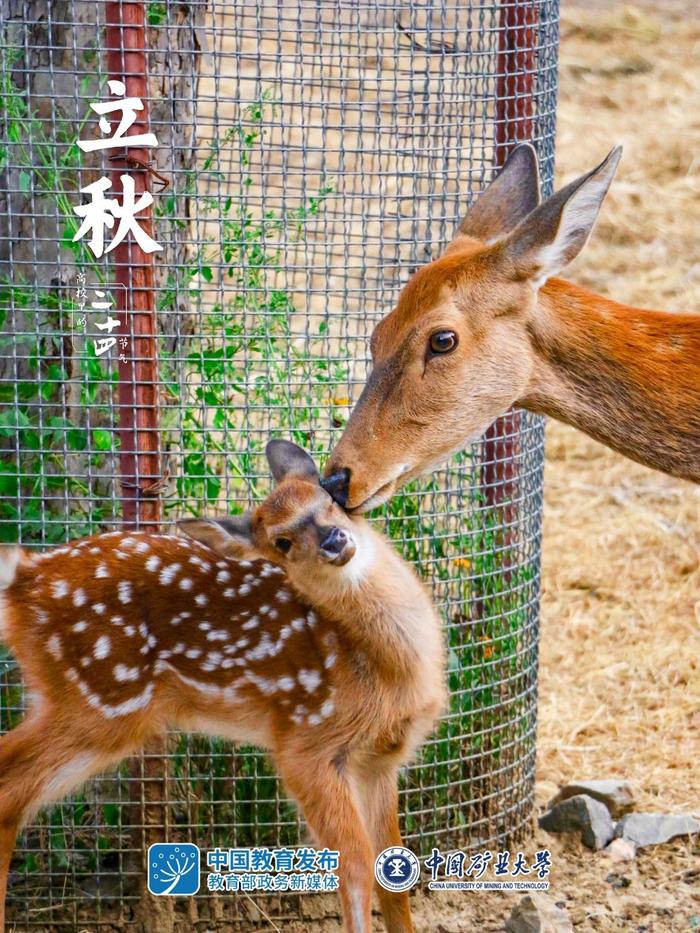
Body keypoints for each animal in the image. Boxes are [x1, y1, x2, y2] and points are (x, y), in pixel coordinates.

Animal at [0, 442, 442, 932]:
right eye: (281, 543)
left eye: (328, 500)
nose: (333, 540)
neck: (384, 669)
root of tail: (24, 577)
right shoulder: (305, 745)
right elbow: (358, 867)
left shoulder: (379, 760)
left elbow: (394, 876)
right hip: (101, 700)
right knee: (9, 787)